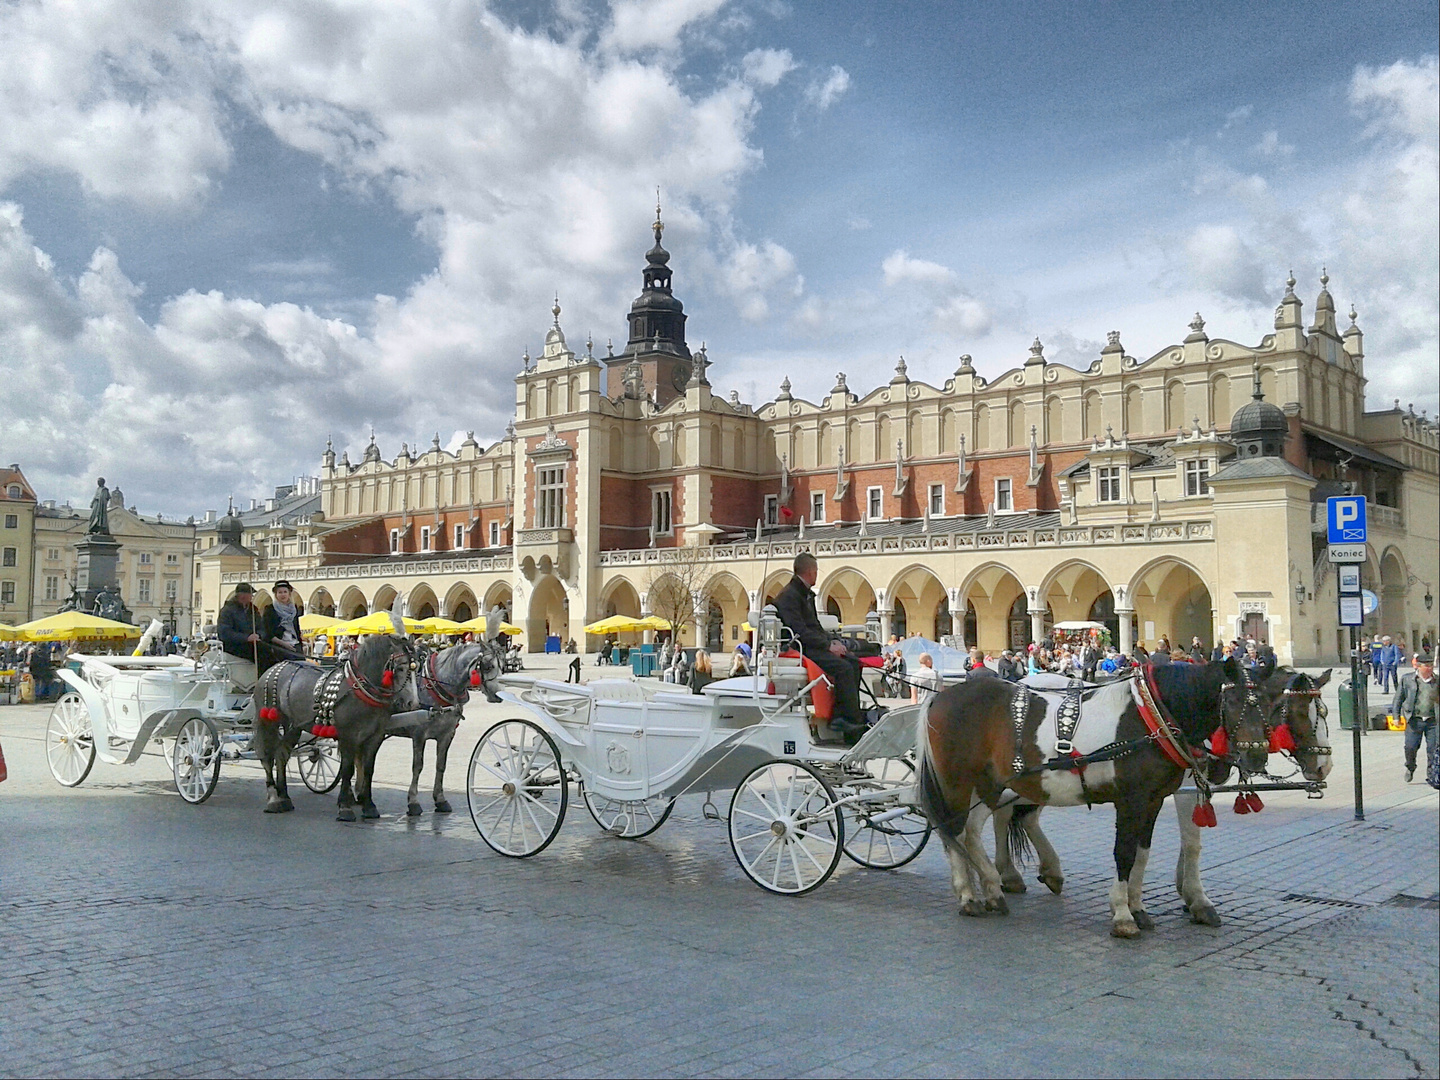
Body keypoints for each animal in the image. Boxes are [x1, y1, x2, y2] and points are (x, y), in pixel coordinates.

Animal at [921, 659, 1249, 938]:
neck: (1155, 717)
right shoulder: (1151, 795)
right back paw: (970, 894)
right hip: (960, 782)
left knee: (984, 826)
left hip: (999, 782)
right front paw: (1134, 911)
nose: (1249, 756)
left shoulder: (1162, 795)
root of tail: (940, 697)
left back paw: (1001, 883)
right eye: (1234, 702)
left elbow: (1156, 849)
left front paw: (1175, 898)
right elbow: (1147, 849)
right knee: (956, 832)